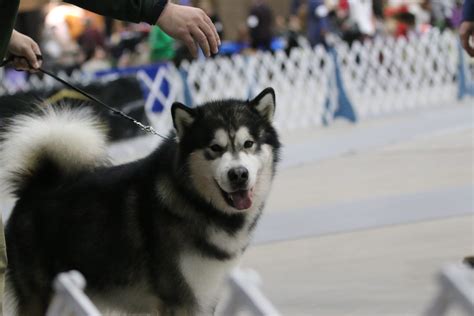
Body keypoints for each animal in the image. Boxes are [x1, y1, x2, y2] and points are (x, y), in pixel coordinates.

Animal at [0, 87, 280, 314]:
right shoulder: (181, 300)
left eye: (249, 143)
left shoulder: (207, 295)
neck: (196, 200)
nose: (238, 175)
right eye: (215, 148)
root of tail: (37, 185)